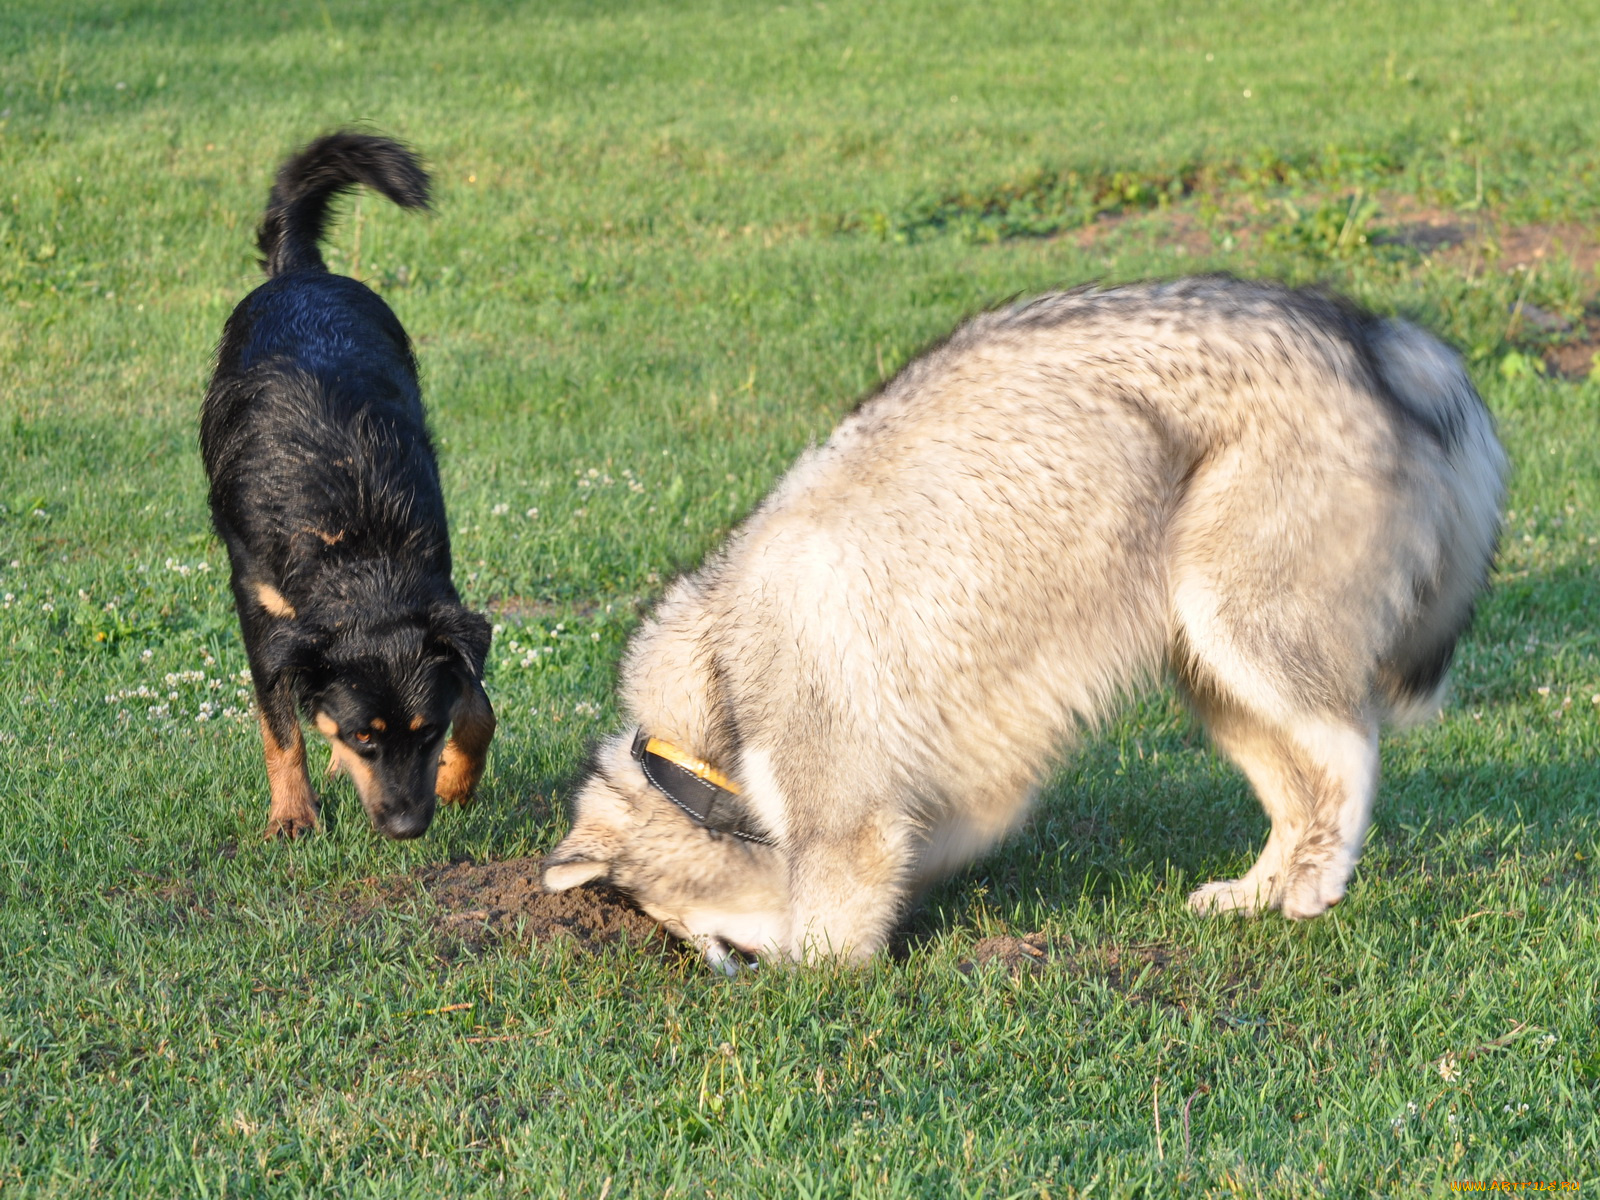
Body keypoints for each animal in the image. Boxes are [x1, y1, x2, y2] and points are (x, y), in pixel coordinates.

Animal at [204, 133, 492, 838]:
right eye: (366, 736)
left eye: (428, 732)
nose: (407, 827)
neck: (358, 545)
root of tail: (299, 270)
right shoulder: (260, 610)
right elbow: (280, 722)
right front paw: (293, 814)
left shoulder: (442, 604)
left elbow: (478, 707)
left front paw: (458, 780)